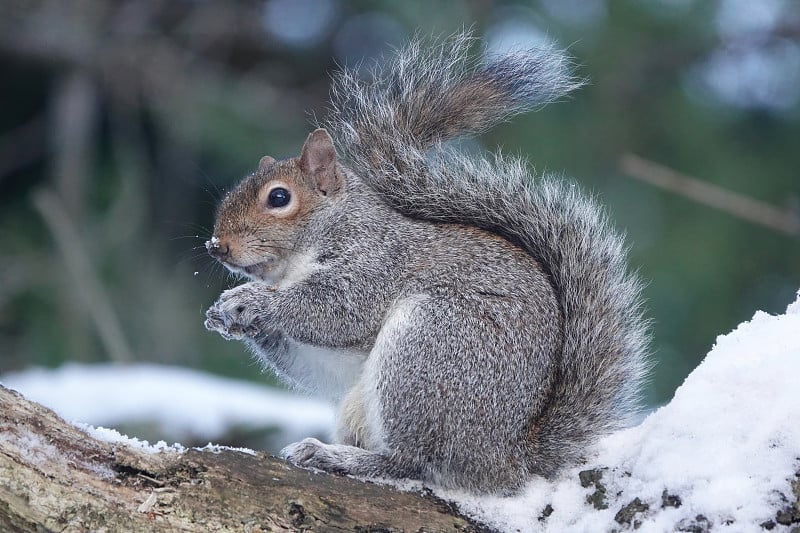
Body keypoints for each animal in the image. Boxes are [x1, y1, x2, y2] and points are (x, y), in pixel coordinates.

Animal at [205, 31, 648, 492]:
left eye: (279, 197)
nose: (217, 245)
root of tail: (507, 459)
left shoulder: (376, 262)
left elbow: (337, 308)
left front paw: (252, 302)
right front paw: (226, 312)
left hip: (428, 349)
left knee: (413, 462)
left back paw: (339, 458)